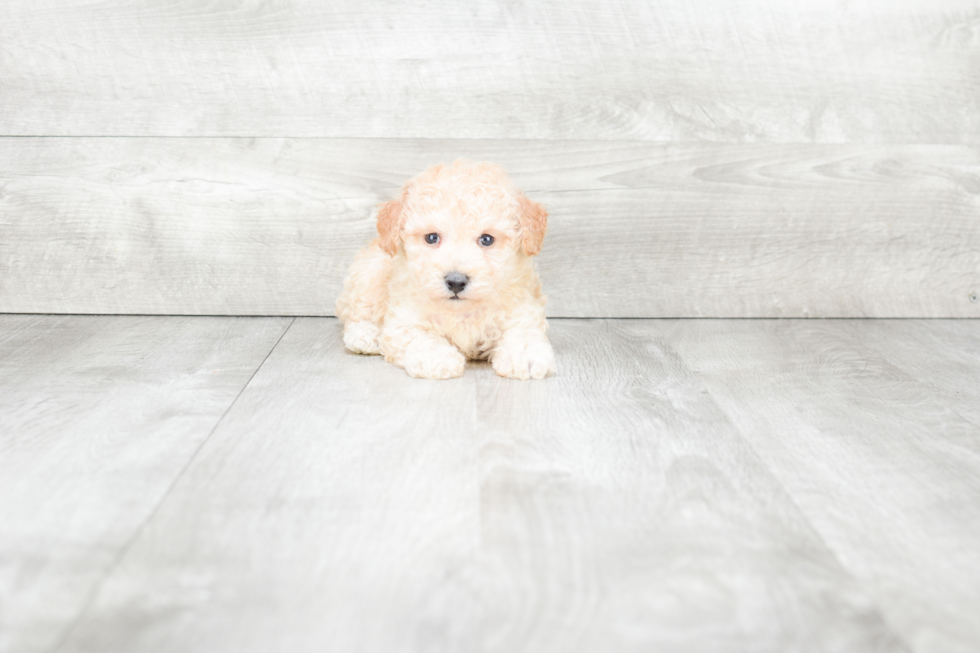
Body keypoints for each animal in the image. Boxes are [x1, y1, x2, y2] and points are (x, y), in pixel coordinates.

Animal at [336, 160, 556, 380]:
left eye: (487, 239)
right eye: (432, 237)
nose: (456, 282)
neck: (462, 311)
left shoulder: (522, 311)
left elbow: (523, 334)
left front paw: (526, 357)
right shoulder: (405, 321)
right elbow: (422, 338)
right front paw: (437, 359)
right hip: (370, 273)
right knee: (356, 312)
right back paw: (366, 335)